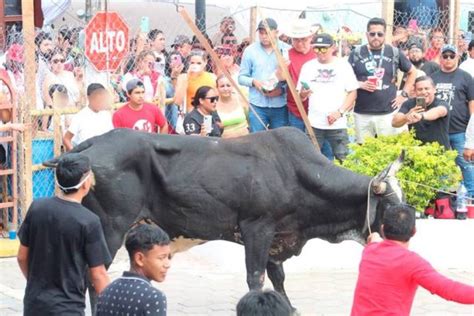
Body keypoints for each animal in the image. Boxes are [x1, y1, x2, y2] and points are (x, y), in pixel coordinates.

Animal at [44, 126, 404, 312]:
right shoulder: (257, 228)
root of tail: (89, 145)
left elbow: (278, 278)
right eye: (391, 204)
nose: (407, 231)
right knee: (95, 276)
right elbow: (256, 278)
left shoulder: (276, 237)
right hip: (110, 227)